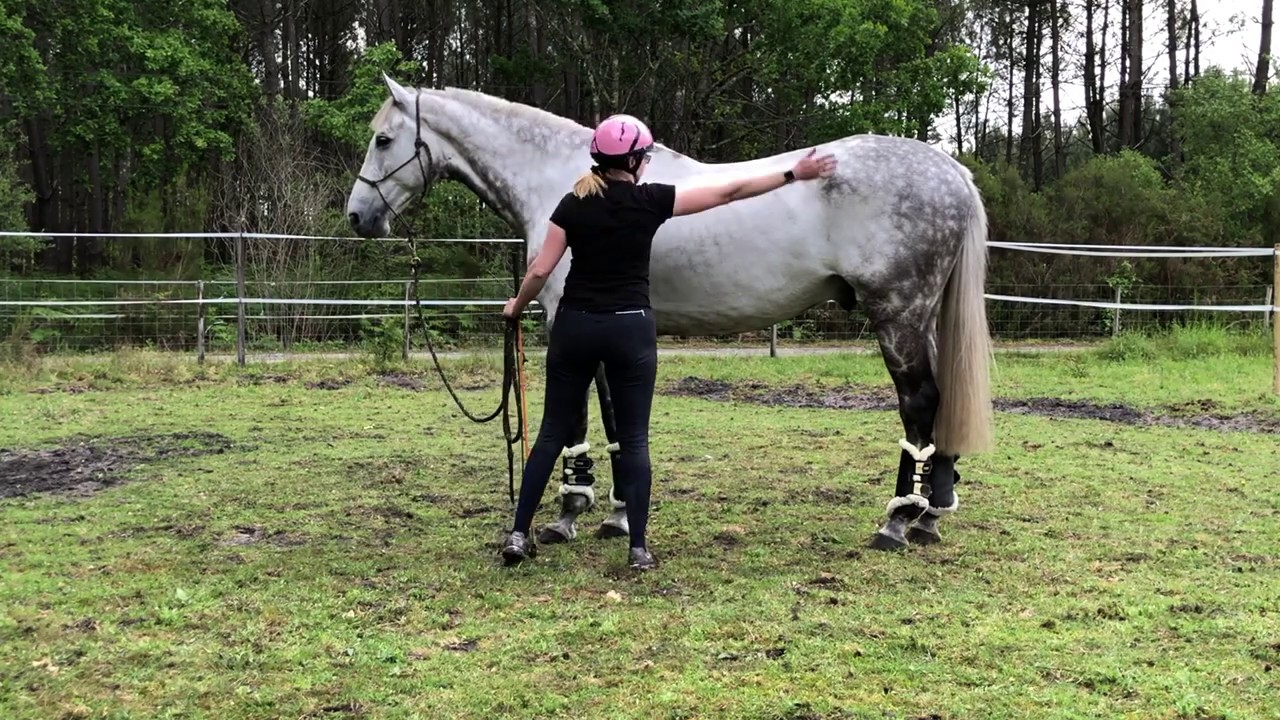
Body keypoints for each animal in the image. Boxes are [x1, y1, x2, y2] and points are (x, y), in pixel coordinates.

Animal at [346, 74, 994, 551]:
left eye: (384, 140)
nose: (358, 216)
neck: (567, 178)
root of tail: (951, 172)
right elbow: (614, 419)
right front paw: (615, 516)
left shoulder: (568, 321)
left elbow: (580, 418)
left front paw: (569, 513)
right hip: (922, 318)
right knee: (940, 403)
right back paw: (931, 514)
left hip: (898, 315)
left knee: (920, 404)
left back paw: (897, 522)